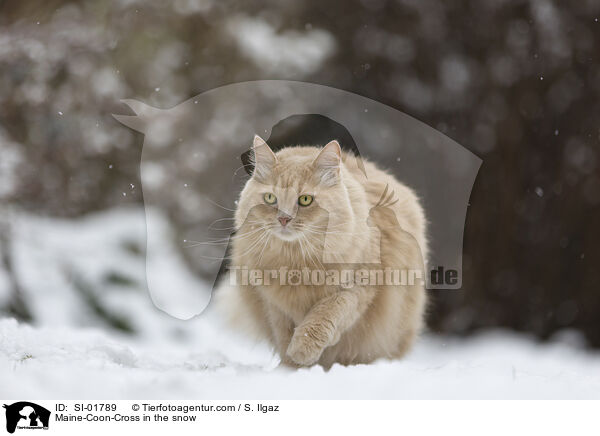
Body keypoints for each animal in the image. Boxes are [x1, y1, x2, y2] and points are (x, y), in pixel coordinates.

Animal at [216, 135, 426, 368]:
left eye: (305, 200)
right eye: (270, 198)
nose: (283, 219)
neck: (296, 261)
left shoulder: (358, 288)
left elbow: (325, 315)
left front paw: (303, 349)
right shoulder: (273, 302)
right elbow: (283, 334)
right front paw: (292, 365)